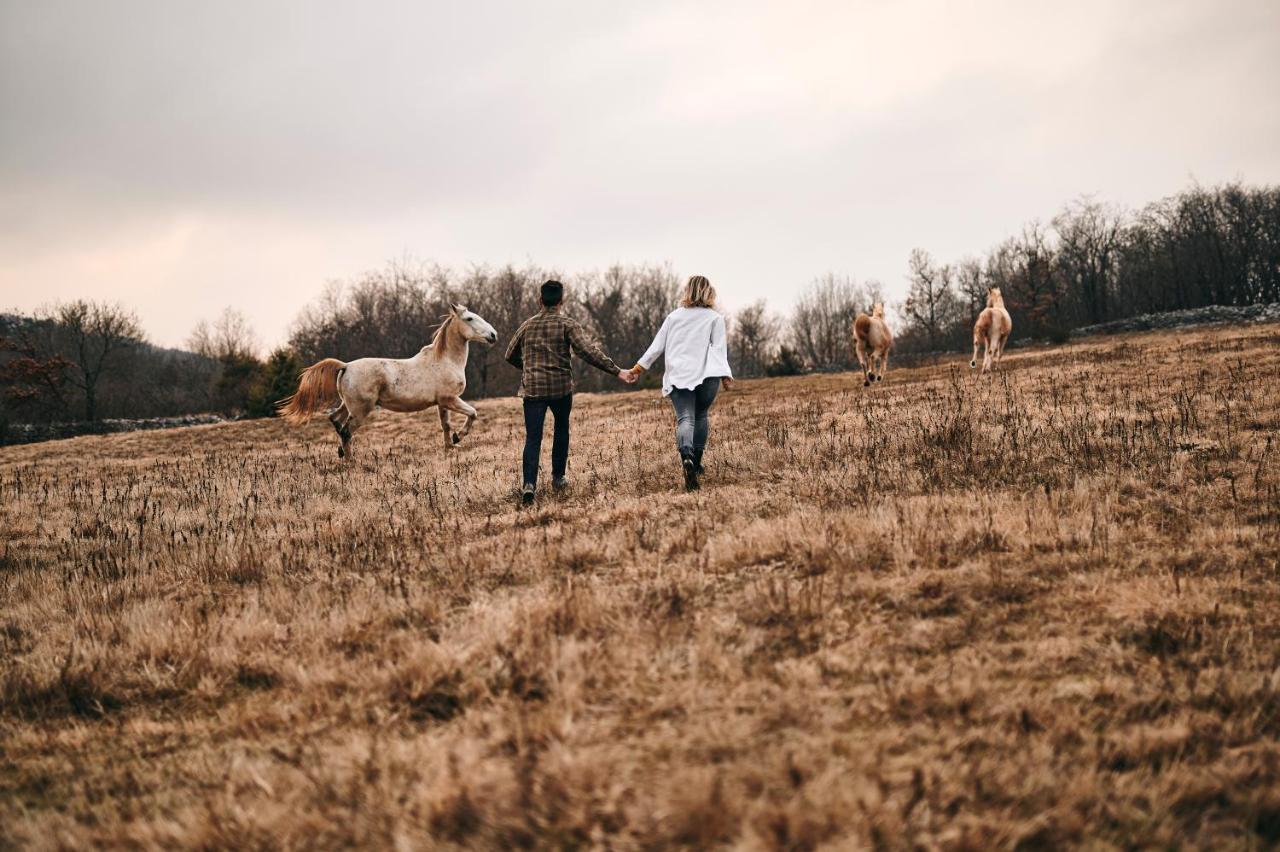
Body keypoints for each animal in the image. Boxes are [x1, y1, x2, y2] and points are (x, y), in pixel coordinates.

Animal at [277, 301, 496, 455]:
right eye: (469, 318)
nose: (493, 335)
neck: (445, 360)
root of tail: (345, 366)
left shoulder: (442, 403)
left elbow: (445, 426)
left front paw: (450, 447)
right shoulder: (450, 399)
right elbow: (473, 413)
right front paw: (459, 437)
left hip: (347, 406)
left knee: (336, 421)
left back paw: (341, 451)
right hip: (361, 411)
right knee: (346, 431)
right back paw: (350, 461)